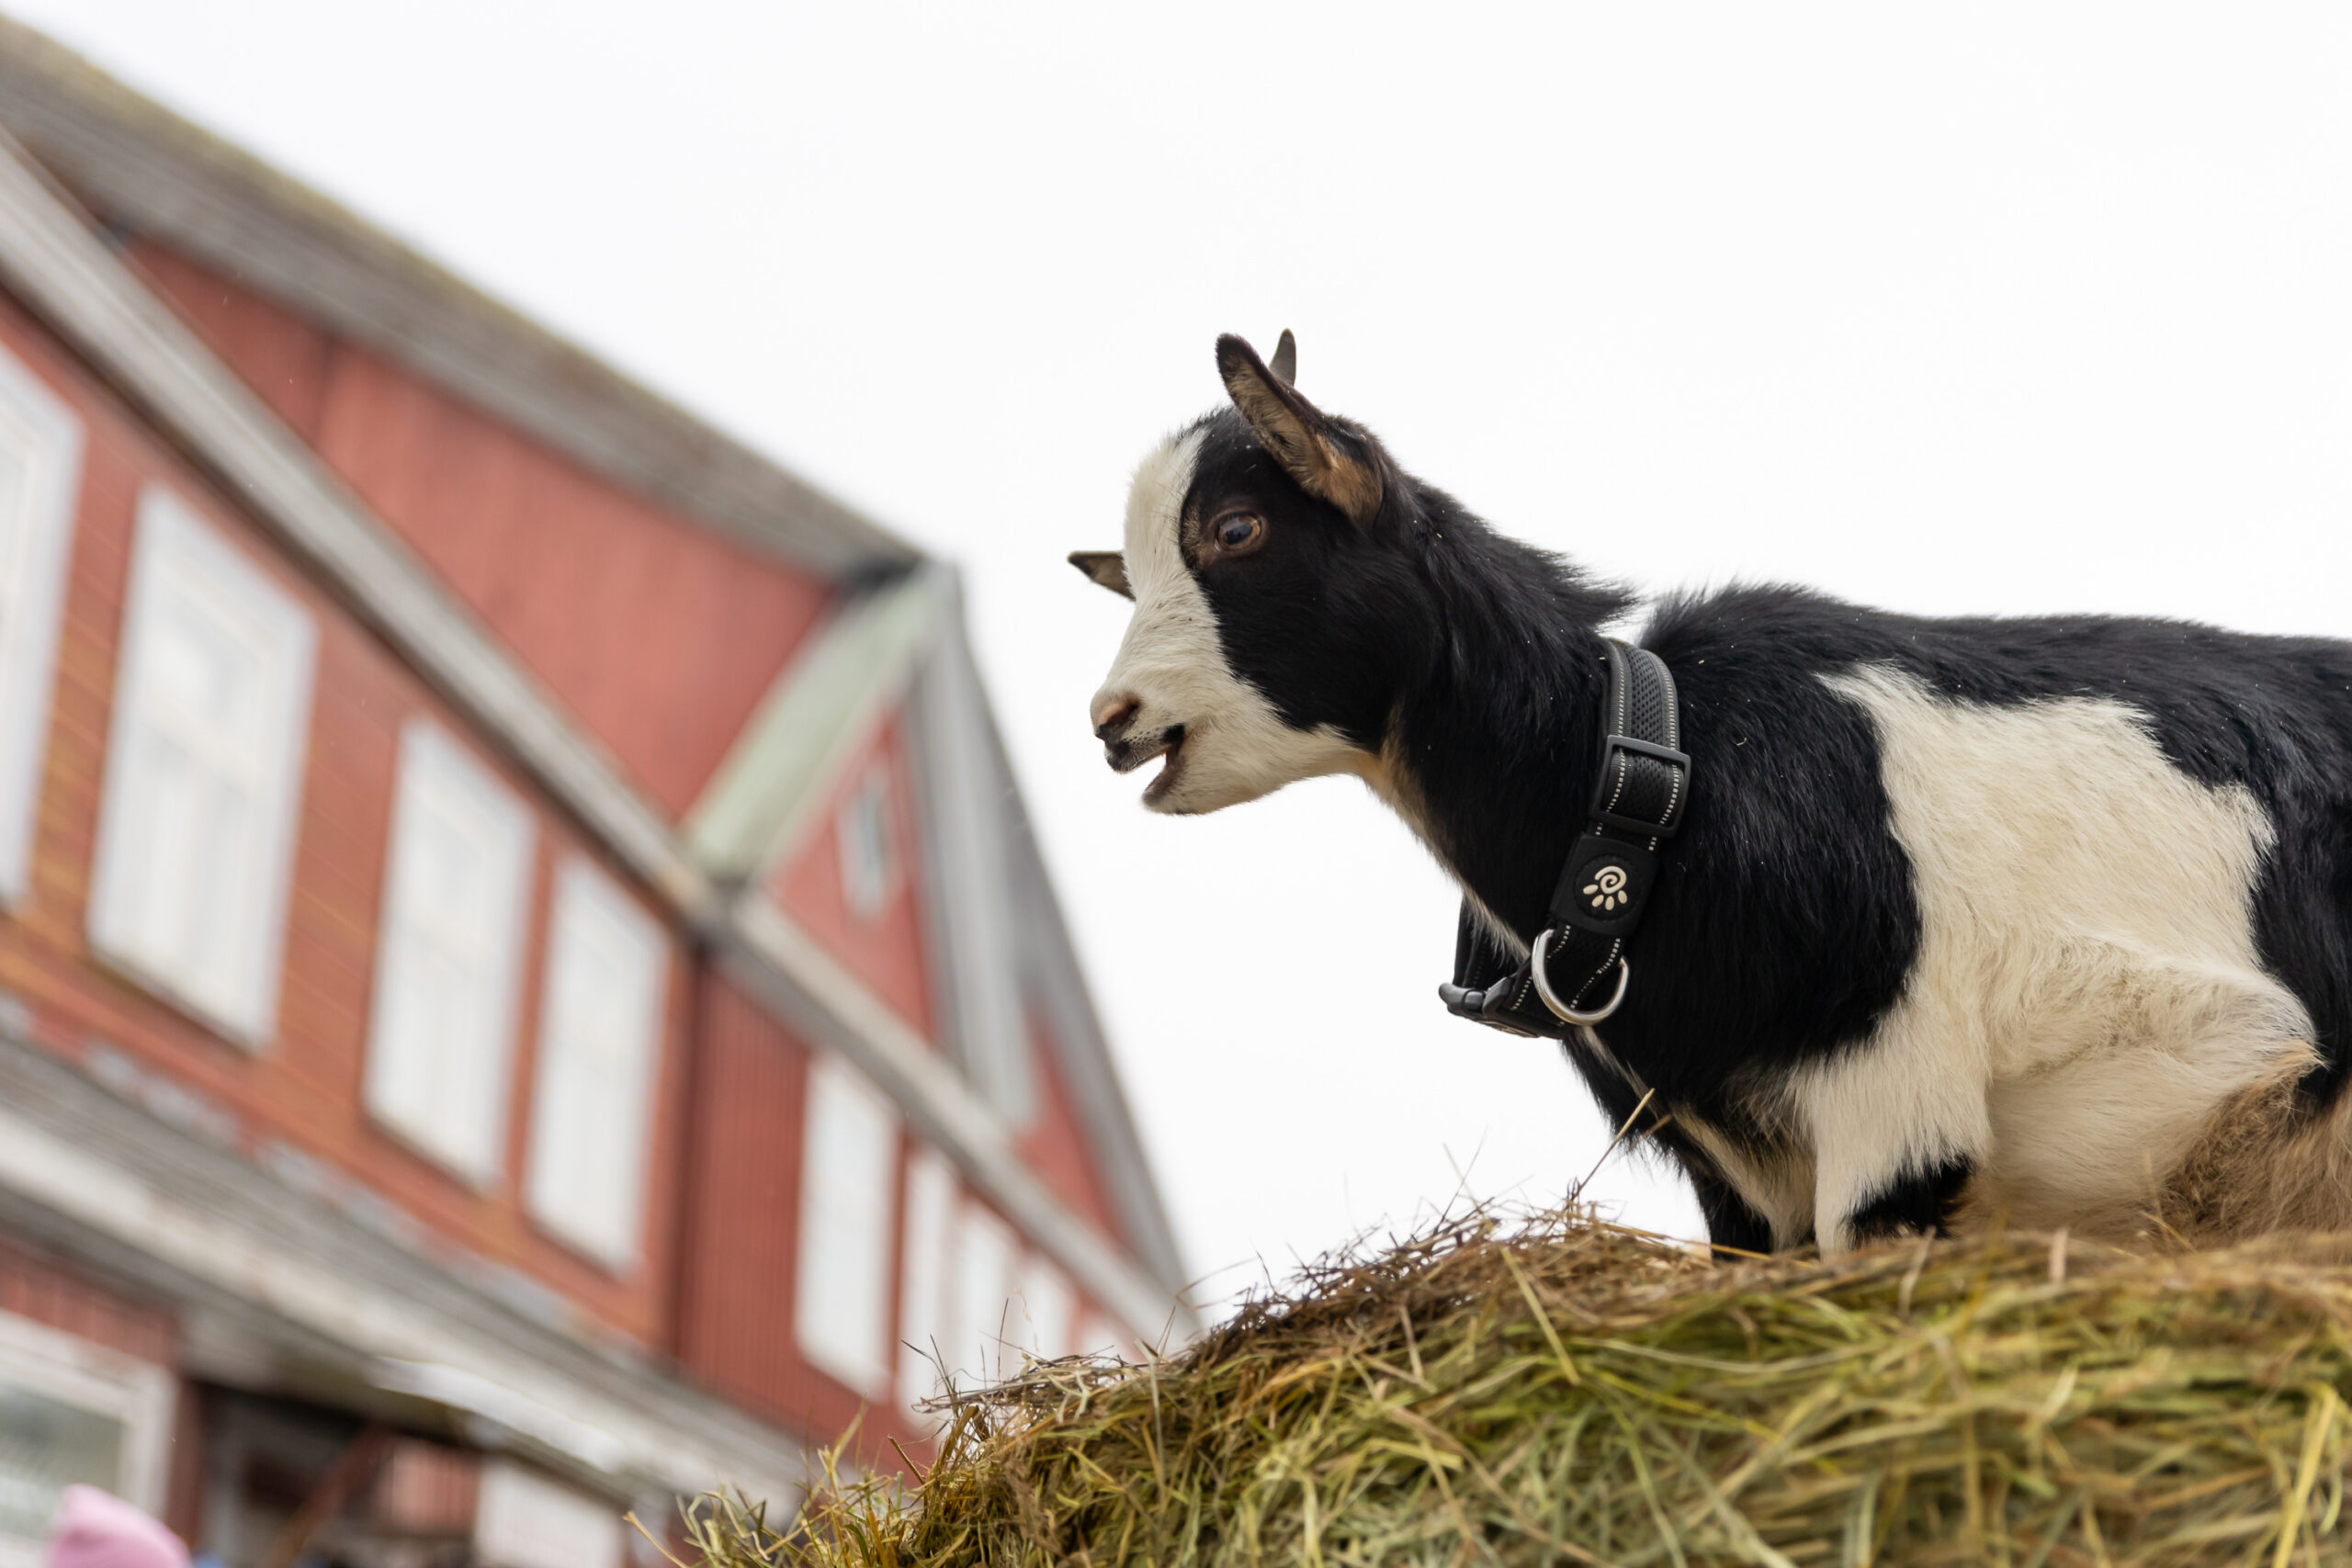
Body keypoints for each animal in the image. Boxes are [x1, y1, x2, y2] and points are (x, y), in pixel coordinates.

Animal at [1077, 333, 2352, 1259]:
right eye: (1128, 574)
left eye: (1235, 528)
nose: (1113, 723)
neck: (1661, 776)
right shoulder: (1739, 1182)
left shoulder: (1896, 1112)